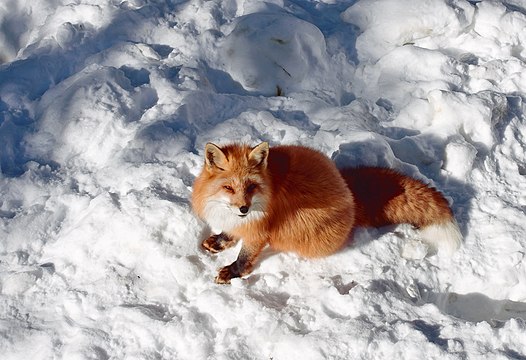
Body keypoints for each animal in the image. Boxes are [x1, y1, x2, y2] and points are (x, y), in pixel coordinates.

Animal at [193, 141, 462, 284]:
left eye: (251, 187)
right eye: (229, 188)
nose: (244, 208)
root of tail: (350, 192)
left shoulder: (260, 231)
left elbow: (245, 256)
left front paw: (233, 272)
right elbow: (230, 234)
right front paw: (221, 240)